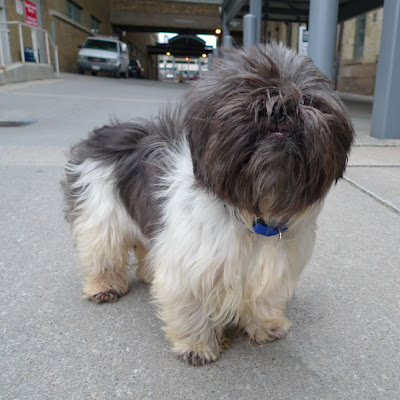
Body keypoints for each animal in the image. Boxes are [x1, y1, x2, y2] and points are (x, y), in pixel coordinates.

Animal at [64, 43, 354, 366]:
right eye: (246, 92)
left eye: (306, 99)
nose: (279, 106)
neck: (255, 213)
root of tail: (112, 133)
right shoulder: (191, 267)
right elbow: (192, 307)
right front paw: (197, 345)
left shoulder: (272, 268)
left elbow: (264, 298)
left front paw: (265, 325)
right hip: (100, 213)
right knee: (102, 250)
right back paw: (104, 286)